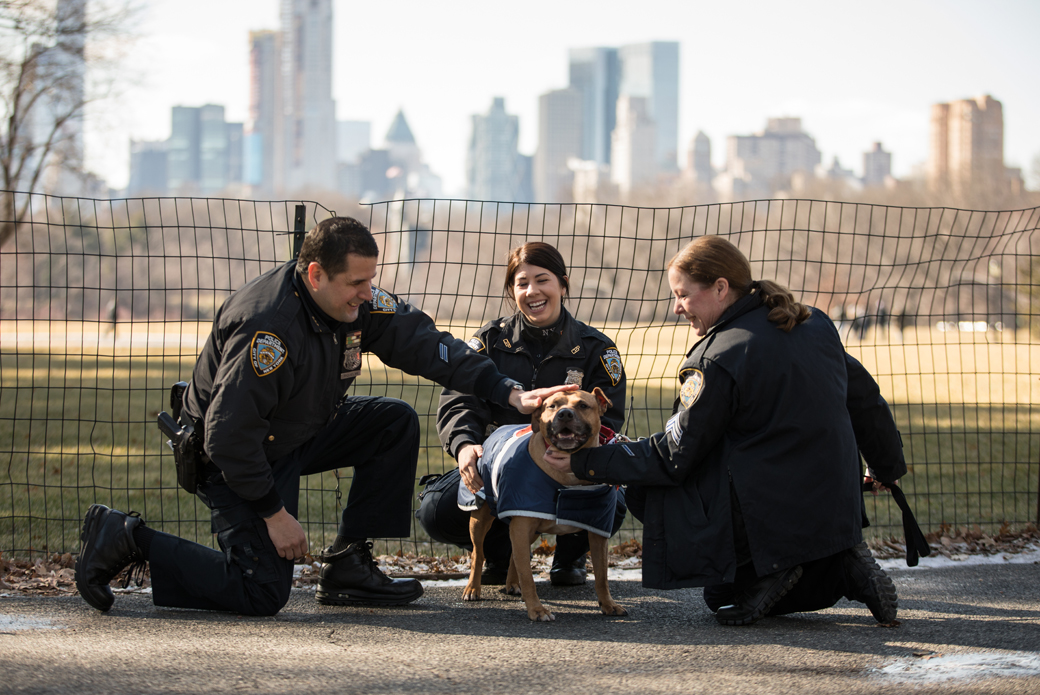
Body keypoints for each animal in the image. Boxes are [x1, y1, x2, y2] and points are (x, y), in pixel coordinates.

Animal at [463, 389, 624, 620]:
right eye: (552, 405)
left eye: (583, 405)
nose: (565, 414)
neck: (568, 472)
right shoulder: (521, 526)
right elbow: (528, 576)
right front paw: (537, 609)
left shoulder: (598, 531)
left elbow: (602, 575)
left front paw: (608, 604)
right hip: (481, 519)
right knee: (478, 553)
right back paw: (473, 588)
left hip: (529, 530)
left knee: (514, 556)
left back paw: (512, 583)